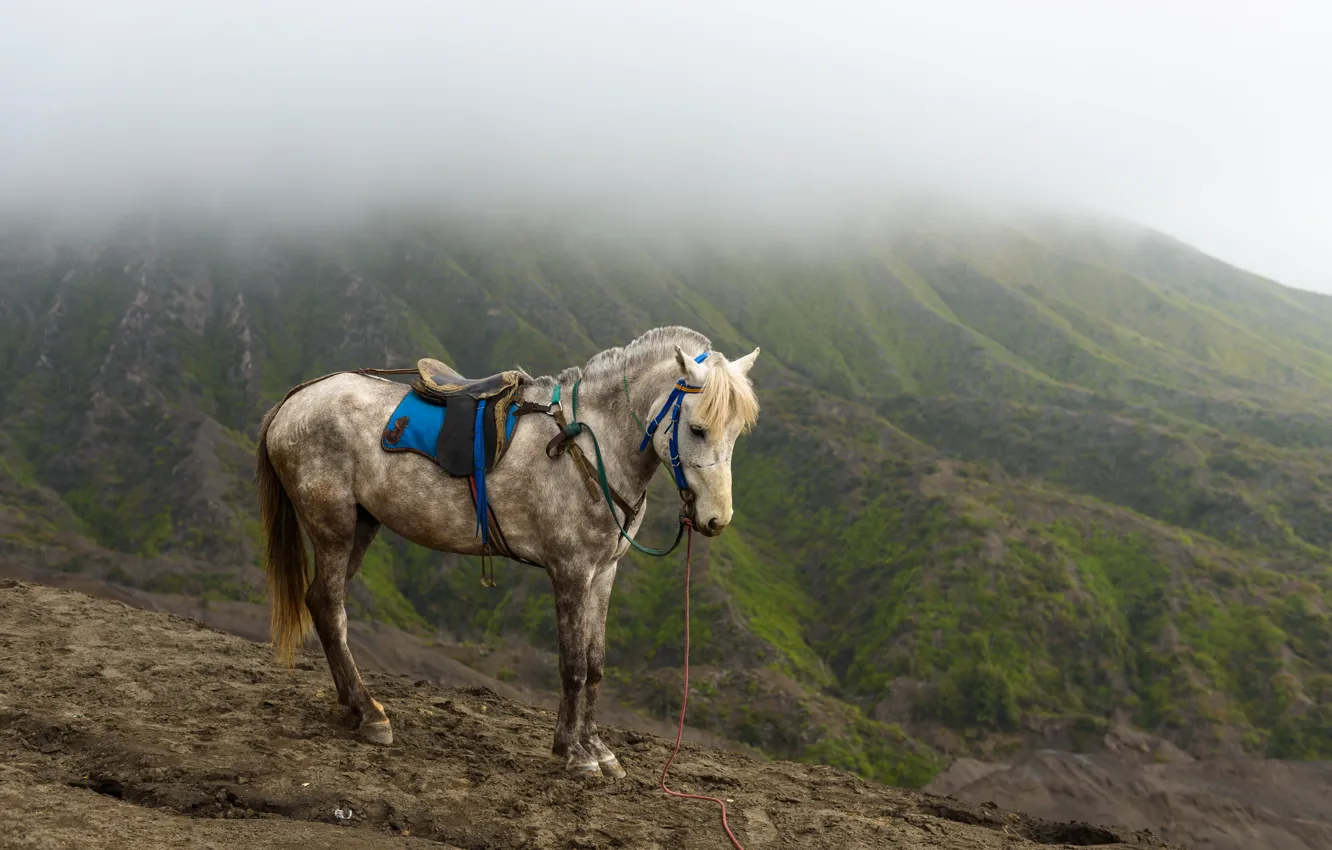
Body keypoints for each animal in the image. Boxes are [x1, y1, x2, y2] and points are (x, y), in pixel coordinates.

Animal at [255, 325, 760, 777]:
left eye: (737, 432)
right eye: (697, 428)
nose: (717, 519)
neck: (588, 444)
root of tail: (294, 400)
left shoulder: (603, 573)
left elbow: (596, 664)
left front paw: (597, 748)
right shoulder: (571, 572)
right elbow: (574, 666)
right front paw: (573, 753)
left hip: (361, 526)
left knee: (321, 603)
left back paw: (354, 706)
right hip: (334, 529)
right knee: (331, 609)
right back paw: (370, 713)